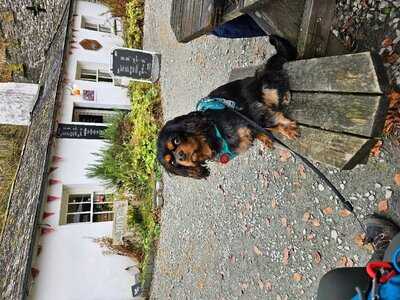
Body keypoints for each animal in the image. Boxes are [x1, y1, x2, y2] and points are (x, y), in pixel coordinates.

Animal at [158, 36, 298, 179]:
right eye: (173, 162)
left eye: (176, 140)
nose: (180, 156)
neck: (215, 134)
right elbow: (264, 128)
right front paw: (272, 135)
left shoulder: (249, 113)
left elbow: (271, 122)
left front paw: (289, 130)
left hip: (262, 87)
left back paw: (285, 96)